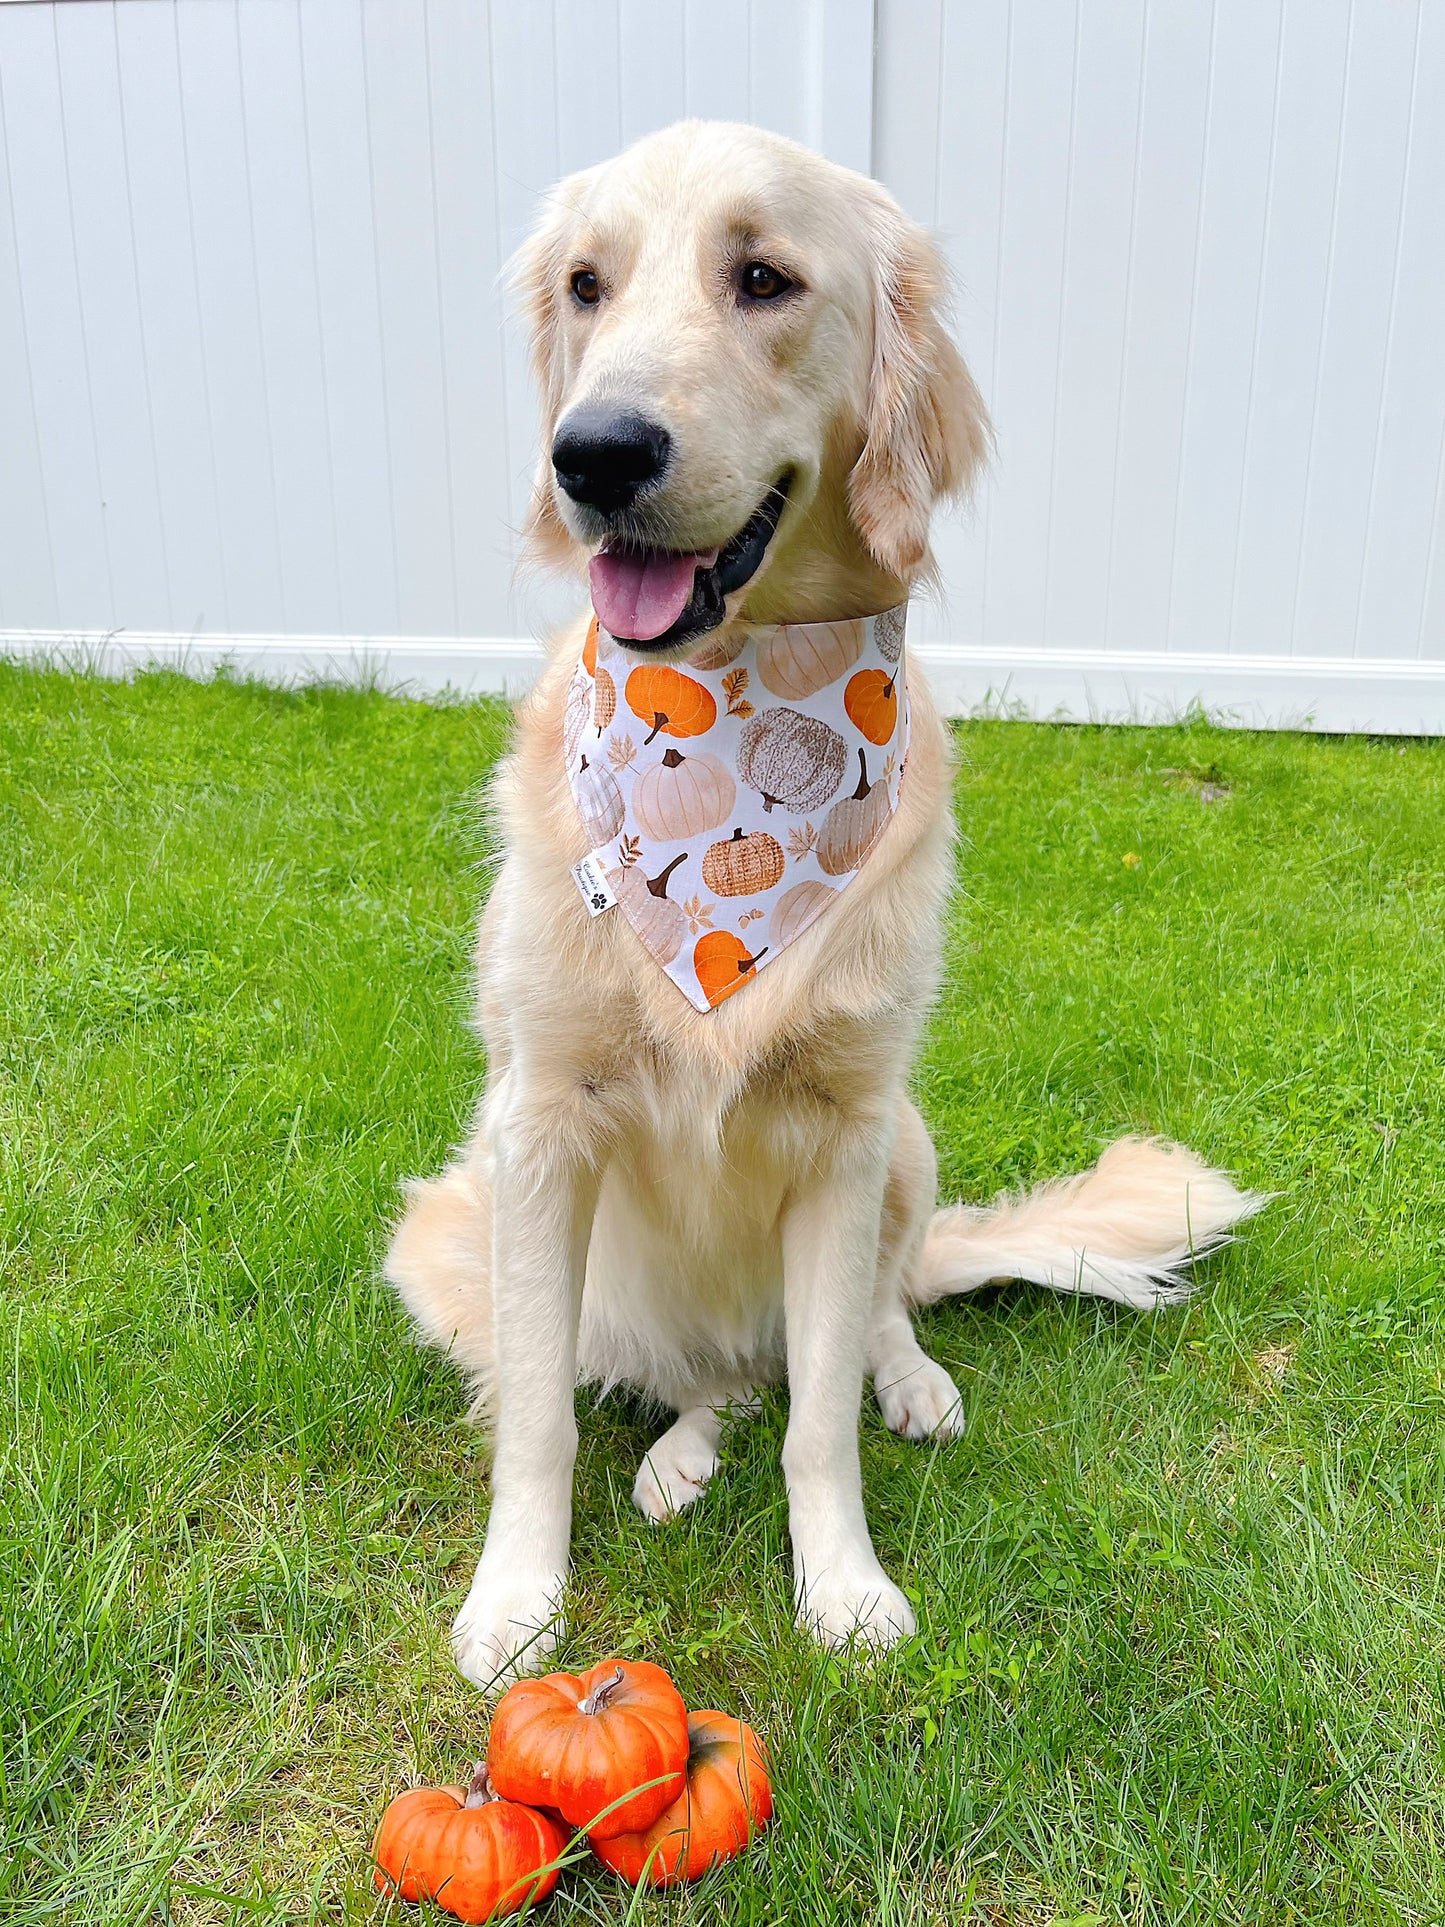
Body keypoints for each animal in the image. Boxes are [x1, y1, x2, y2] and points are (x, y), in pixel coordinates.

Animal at [387, 120, 1263, 1688]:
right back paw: (678, 1448)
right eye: (587, 285)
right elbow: (538, 1417)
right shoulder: (536, 1128)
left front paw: (843, 1588)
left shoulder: (845, 1132)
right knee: (704, 1378)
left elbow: (822, 1421)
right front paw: (516, 1600)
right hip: (460, 1229)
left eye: (764, 278)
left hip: (902, 1139)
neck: (741, 708)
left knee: (856, 1328)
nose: (590, 454)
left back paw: (906, 1379)